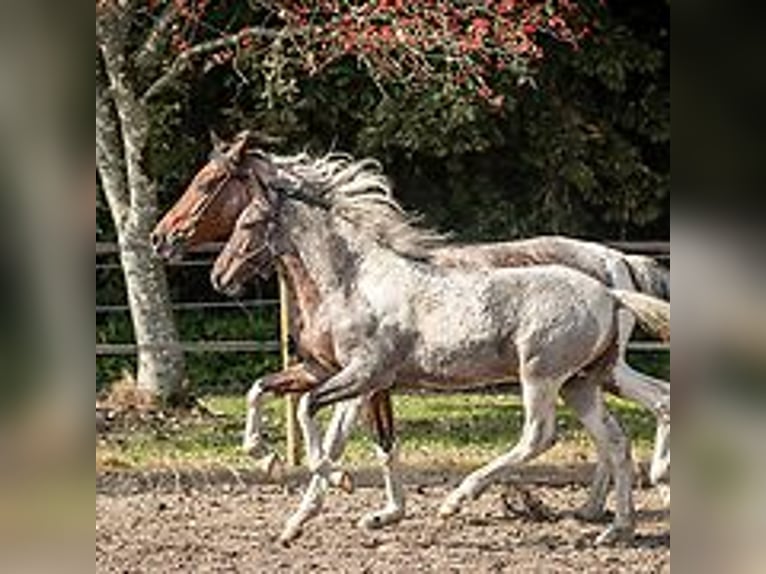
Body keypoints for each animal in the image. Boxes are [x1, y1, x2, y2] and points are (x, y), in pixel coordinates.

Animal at [201, 142, 668, 548]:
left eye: (248, 224)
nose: (219, 277)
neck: (354, 282)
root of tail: (611, 291)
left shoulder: (365, 374)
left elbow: (309, 413)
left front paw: (337, 479)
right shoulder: (330, 371)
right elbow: (265, 391)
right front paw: (282, 487)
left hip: (541, 375)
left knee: (540, 436)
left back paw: (457, 499)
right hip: (580, 382)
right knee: (619, 440)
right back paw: (616, 528)